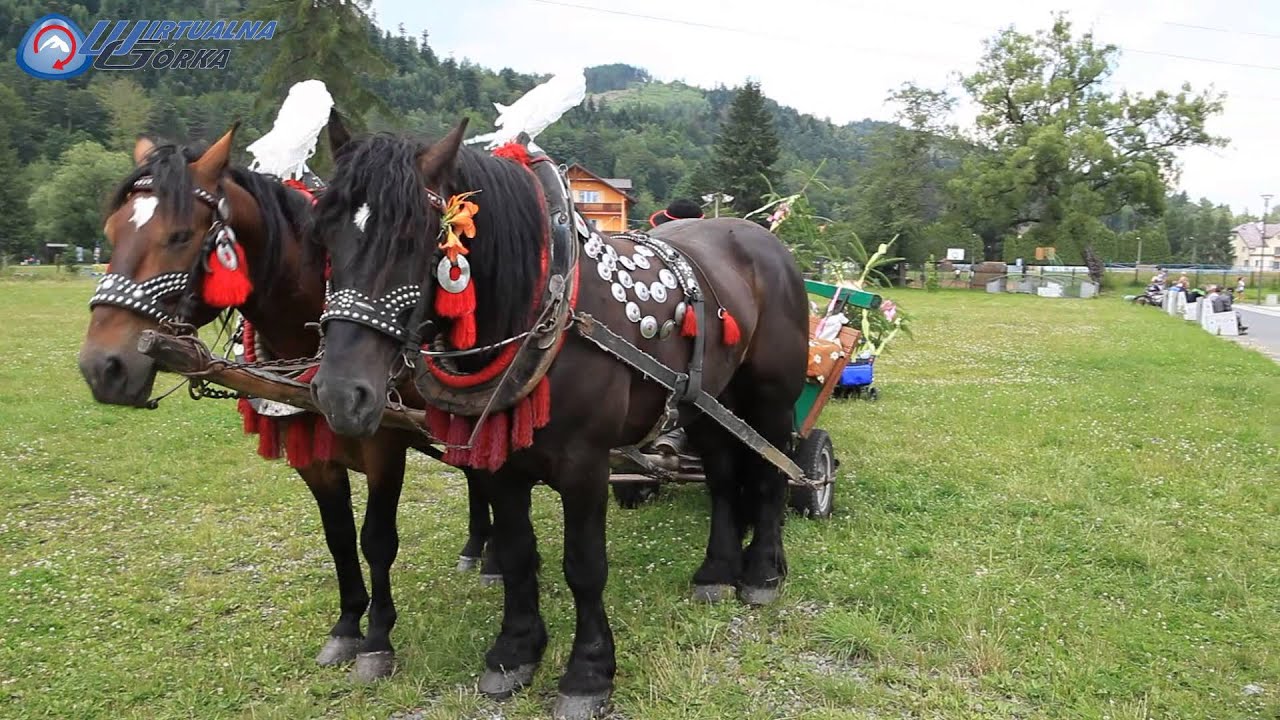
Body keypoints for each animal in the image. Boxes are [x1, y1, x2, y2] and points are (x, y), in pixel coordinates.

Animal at [76, 126, 499, 681]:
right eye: (111, 230)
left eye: (181, 236)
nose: (102, 367)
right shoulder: (312, 450)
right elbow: (338, 535)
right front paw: (347, 627)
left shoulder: (385, 443)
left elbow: (377, 539)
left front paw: (378, 640)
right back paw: (478, 546)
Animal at [308, 114, 803, 712]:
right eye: (323, 236)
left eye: (413, 237)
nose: (340, 395)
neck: (546, 300)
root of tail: (762, 238)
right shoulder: (500, 461)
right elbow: (517, 551)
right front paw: (515, 651)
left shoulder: (585, 463)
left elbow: (584, 566)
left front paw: (587, 673)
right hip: (706, 399)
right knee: (725, 477)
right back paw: (717, 569)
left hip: (773, 394)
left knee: (773, 471)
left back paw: (762, 572)